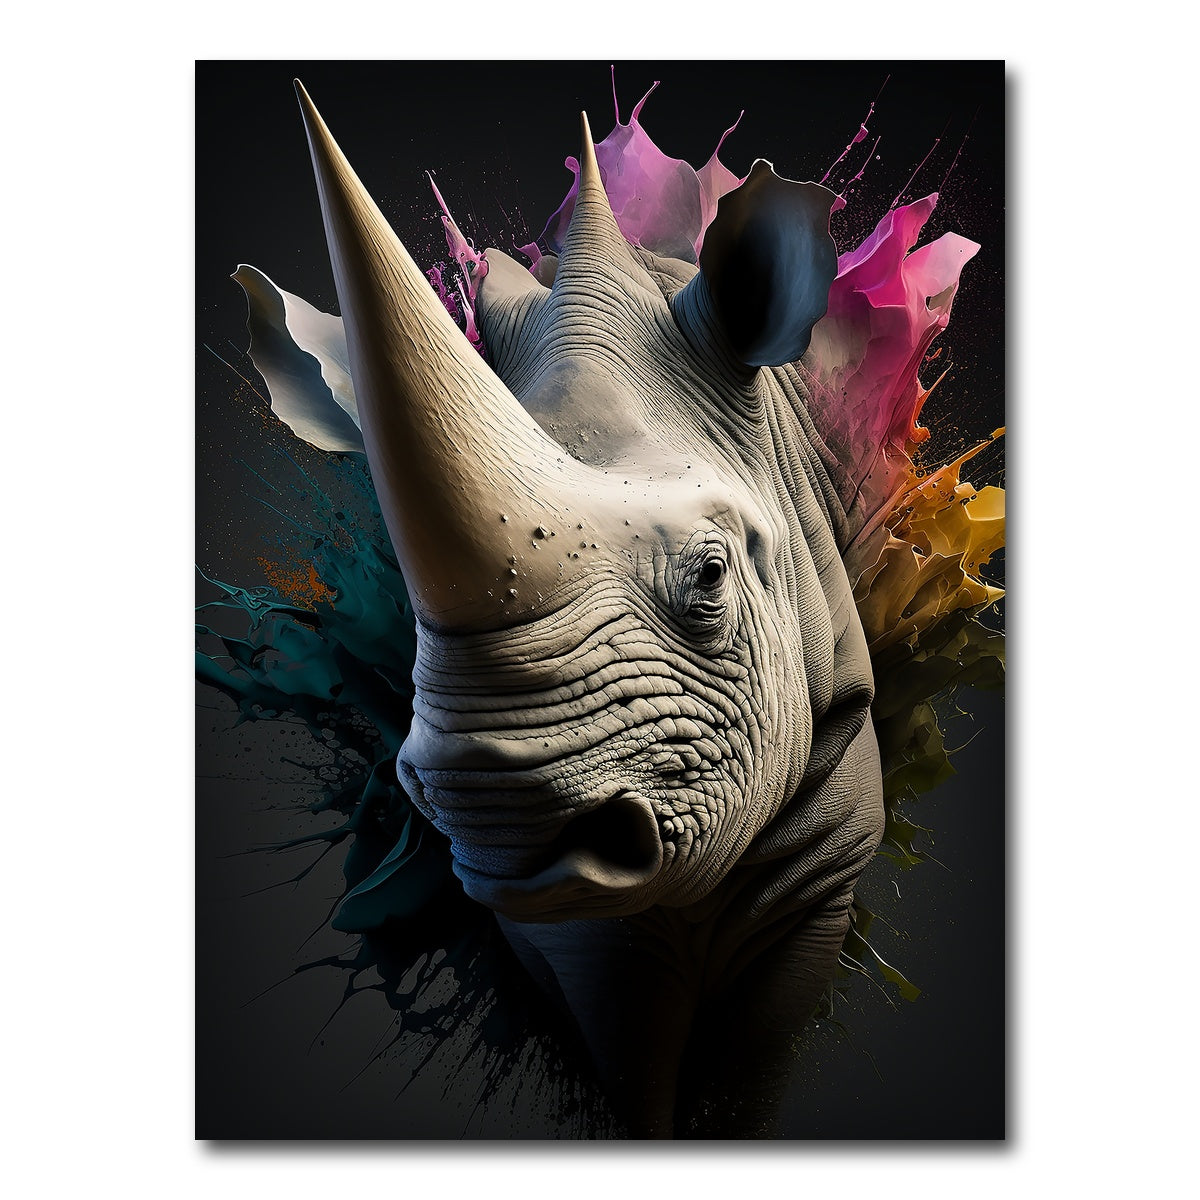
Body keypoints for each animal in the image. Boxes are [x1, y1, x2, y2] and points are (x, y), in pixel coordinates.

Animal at [290, 81, 888, 1138]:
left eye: (711, 578)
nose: (499, 809)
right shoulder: (572, 930)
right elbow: (628, 1047)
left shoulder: (825, 860)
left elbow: (754, 1062)